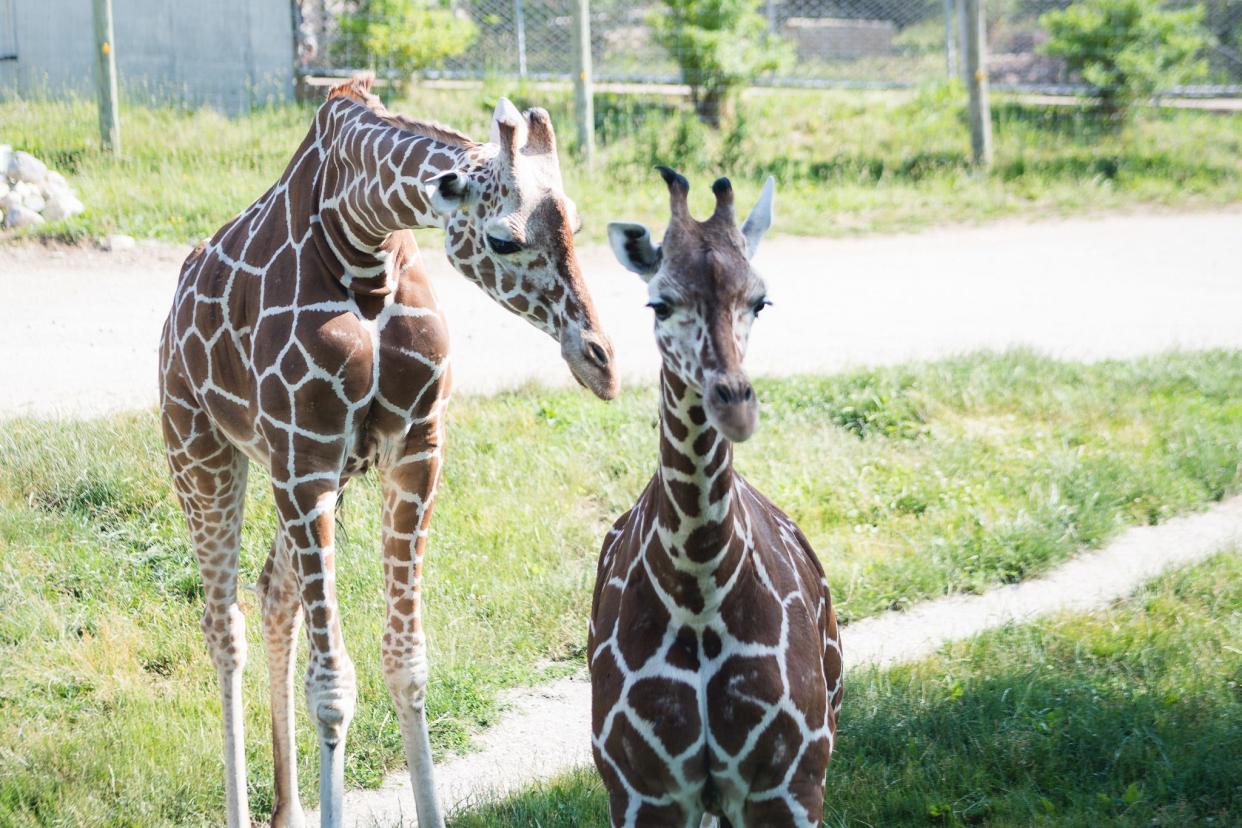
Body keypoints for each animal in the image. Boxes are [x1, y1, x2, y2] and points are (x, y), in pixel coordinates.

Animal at [157, 77, 618, 828]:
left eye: (575, 223)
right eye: (502, 238)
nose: (599, 361)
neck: (359, 241)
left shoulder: (413, 449)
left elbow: (405, 661)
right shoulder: (305, 462)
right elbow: (332, 683)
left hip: (307, 472)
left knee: (273, 593)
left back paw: (289, 810)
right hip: (200, 446)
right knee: (223, 625)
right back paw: (244, 811)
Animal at [588, 168, 844, 828]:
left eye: (760, 300)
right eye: (660, 301)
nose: (735, 406)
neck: (700, 588)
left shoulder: (791, 784)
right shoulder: (642, 793)